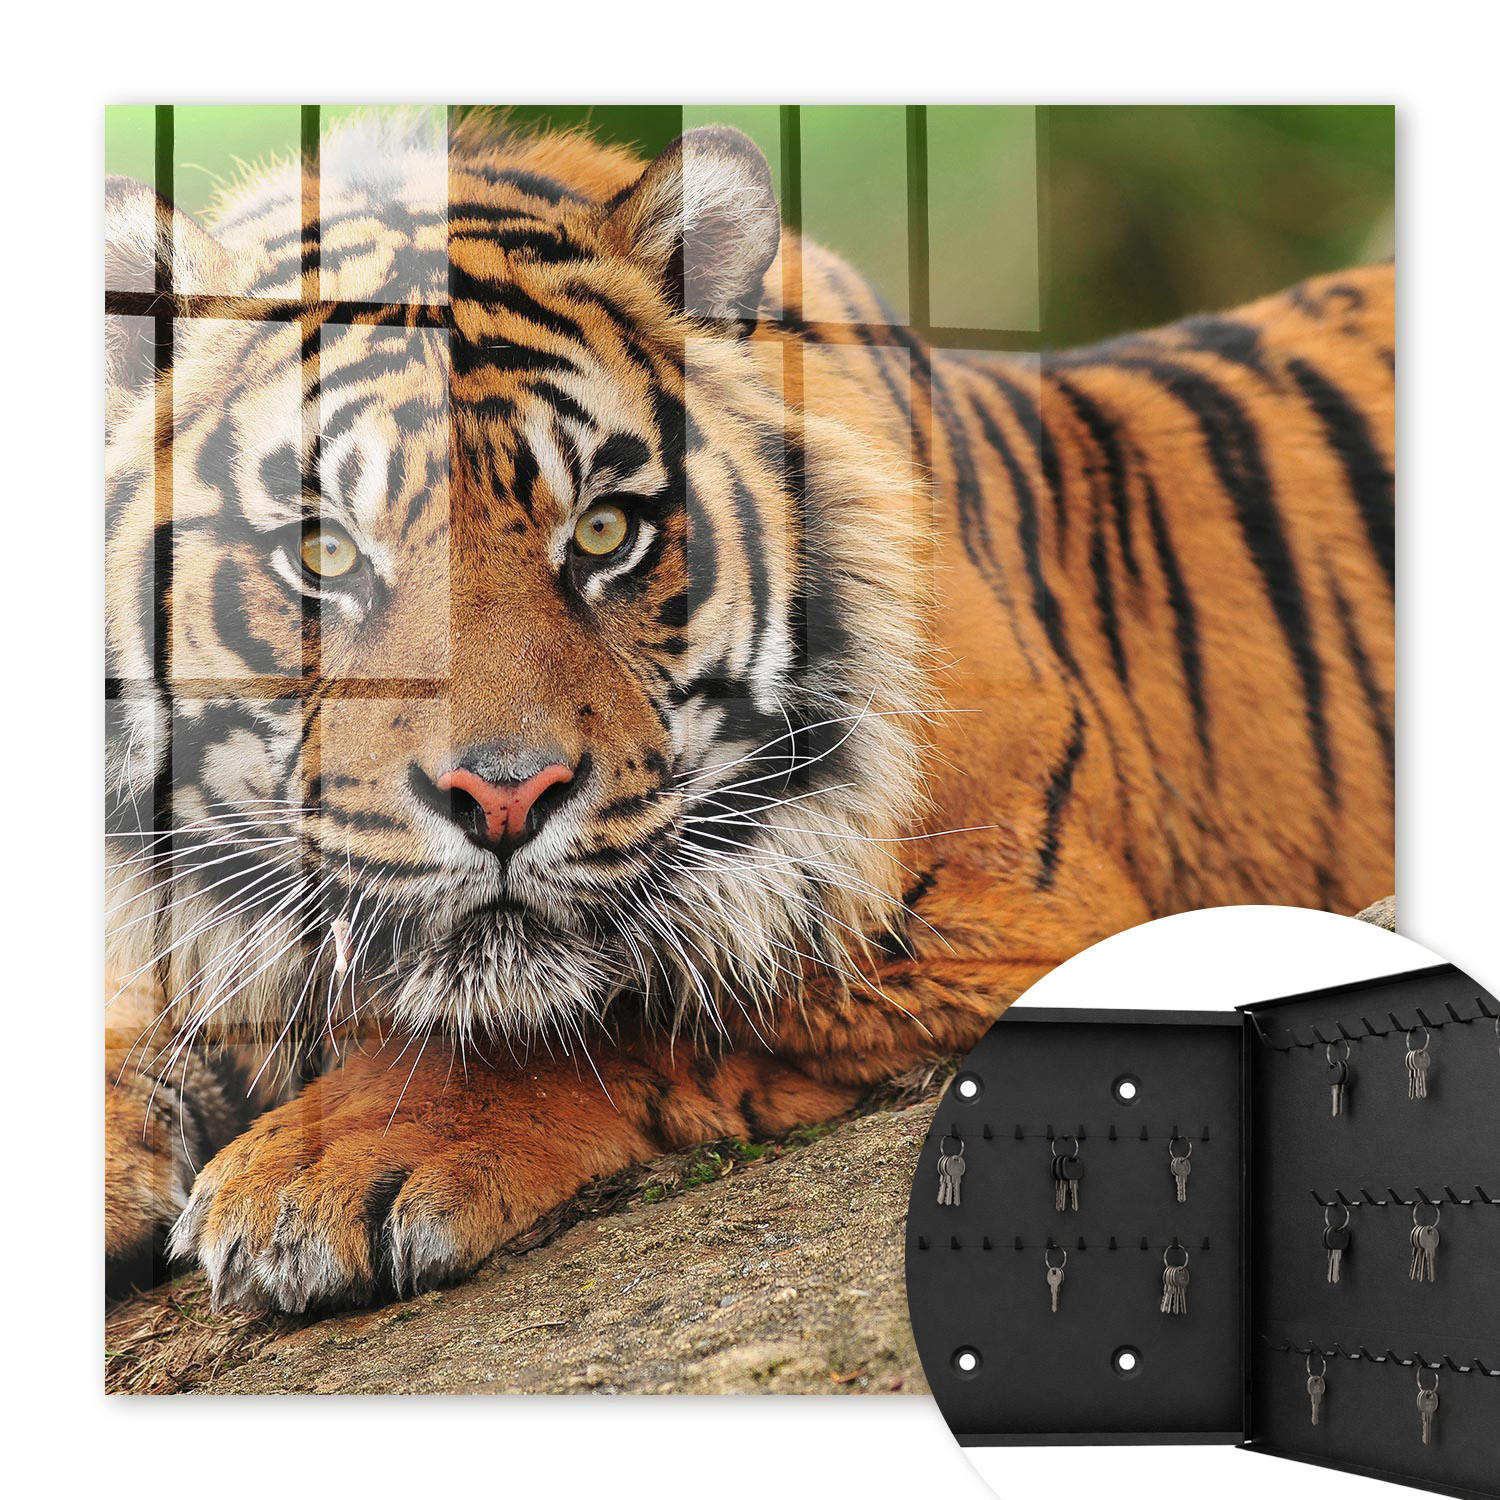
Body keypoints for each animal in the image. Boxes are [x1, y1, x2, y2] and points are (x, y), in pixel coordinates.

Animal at [105, 112, 1394, 1313]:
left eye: (606, 531)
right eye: (324, 550)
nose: (505, 799)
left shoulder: (1000, 923)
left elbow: (625, 1006)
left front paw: (317, 1175)